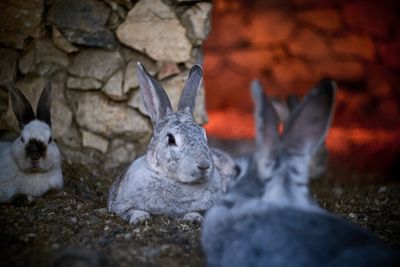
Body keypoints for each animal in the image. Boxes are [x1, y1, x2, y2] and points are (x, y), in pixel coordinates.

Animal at [108, 62, 236, 224]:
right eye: (171, 139)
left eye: (204, 135)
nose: (204, 165)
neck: (172, 179)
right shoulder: (119, 205)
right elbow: (130, 211)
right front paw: (140, 218)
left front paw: (193, 217)